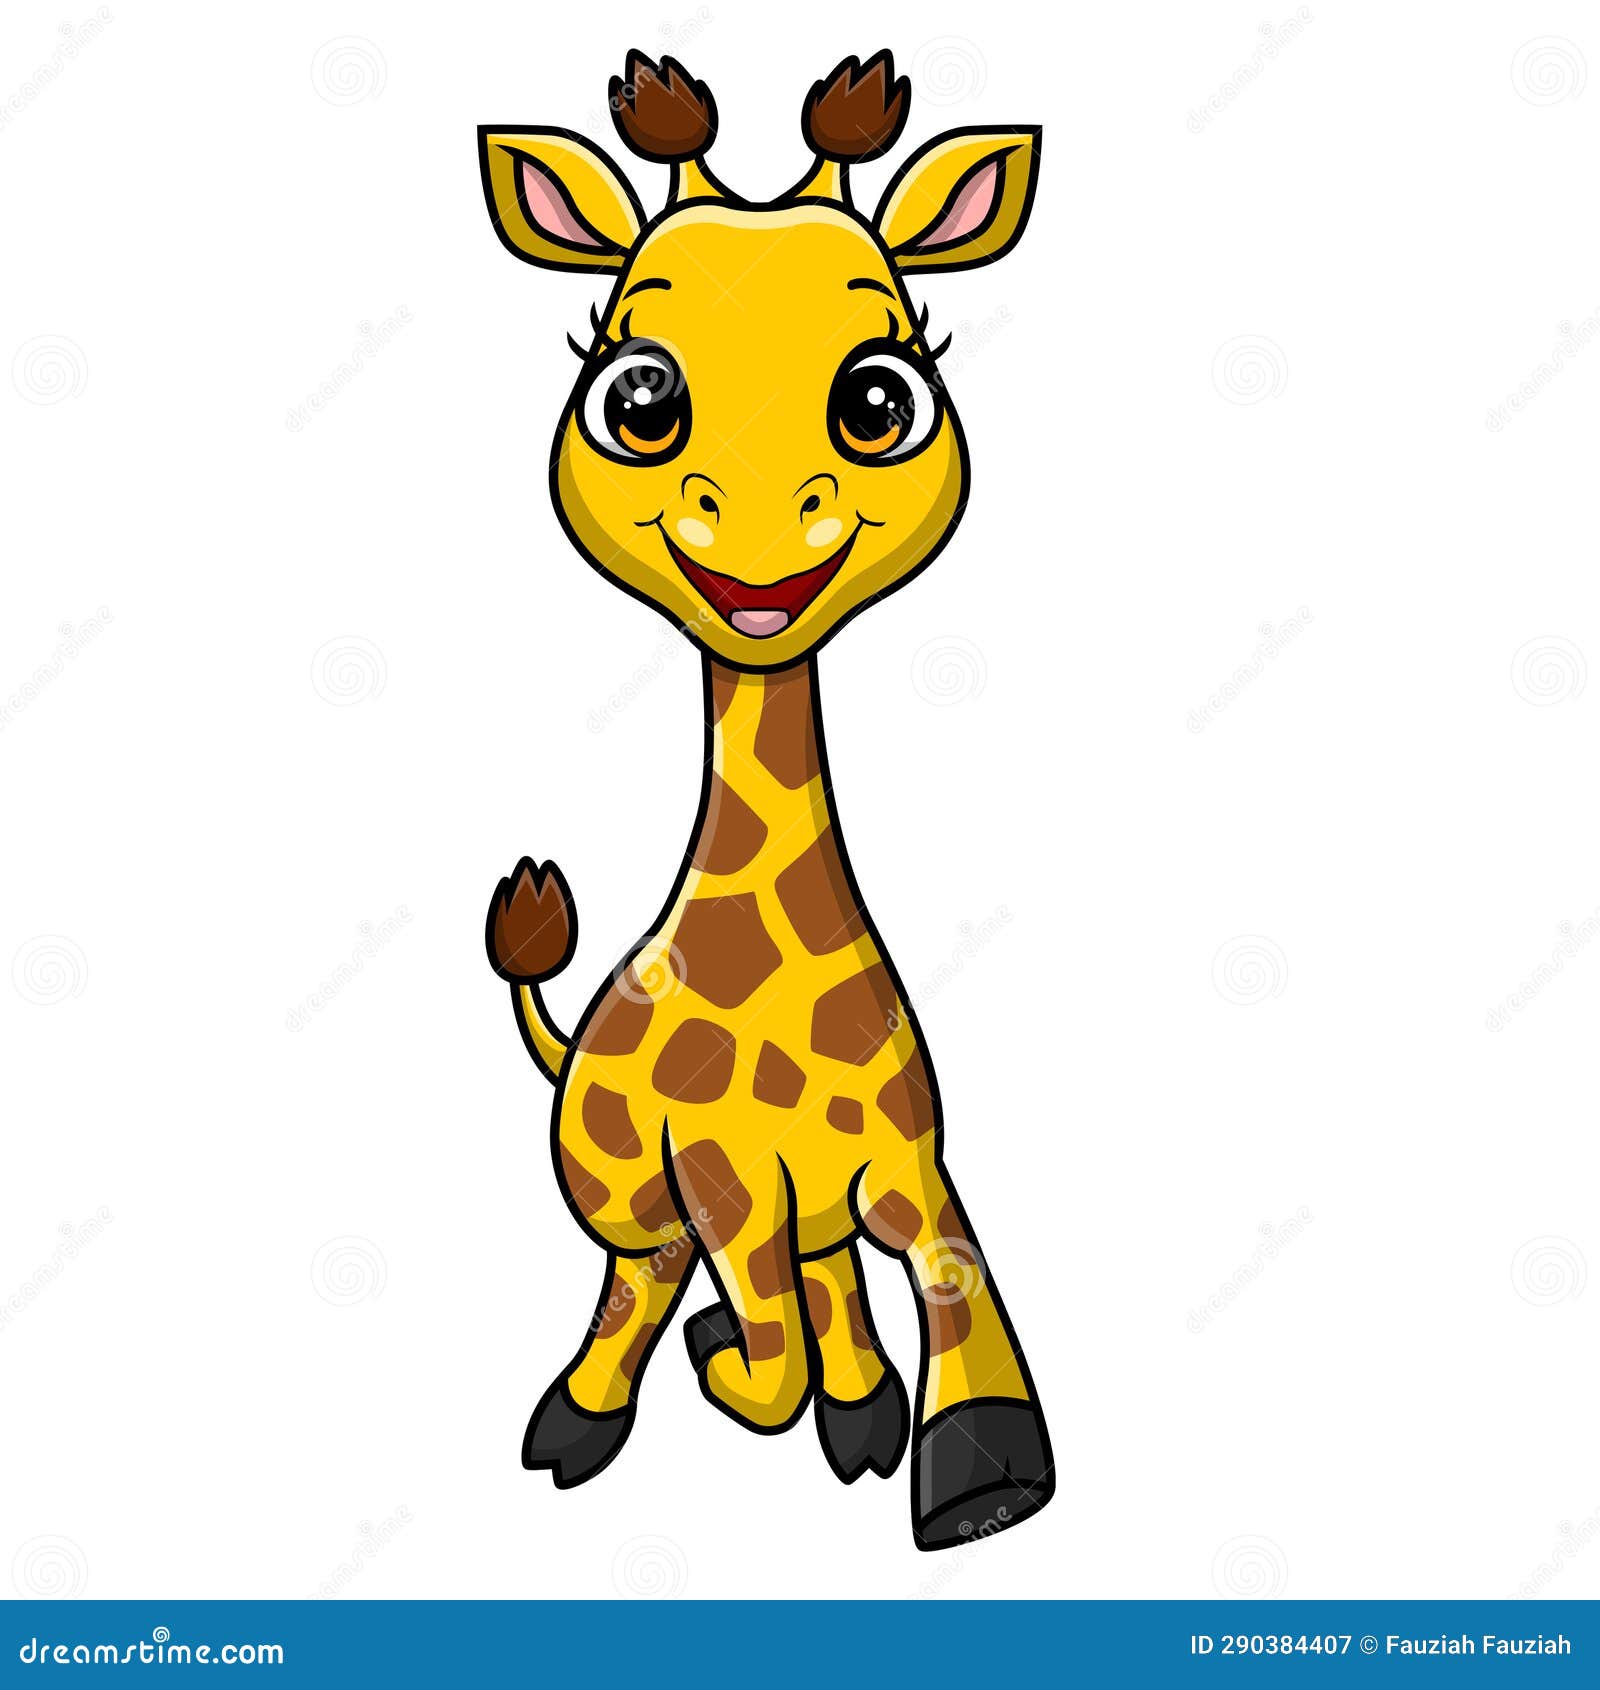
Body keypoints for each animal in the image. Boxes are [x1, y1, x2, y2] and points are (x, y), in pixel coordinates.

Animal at [478, 49, 1049, 1550]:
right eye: (638, 399)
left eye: (879, 398)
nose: (756, 553)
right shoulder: (723, 1178)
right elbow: (764, 1355)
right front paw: (732, 1366)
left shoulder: (899, 1155)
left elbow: (931, 1275)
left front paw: (970, 1464)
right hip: (621, 1182)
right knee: (643, 1274)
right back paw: (584, 1418)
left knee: (824, 1287)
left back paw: (858, 1412)